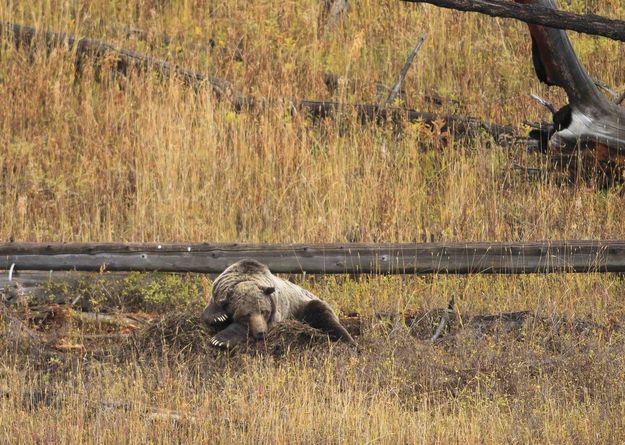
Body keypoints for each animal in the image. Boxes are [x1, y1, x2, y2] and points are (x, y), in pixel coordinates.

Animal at [202, 258, 354, 348]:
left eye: (264, 311)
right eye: (246, 314)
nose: (261, 332)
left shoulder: (275, 312)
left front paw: (220, 339)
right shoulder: (218, 291)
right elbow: (211, 311)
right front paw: (218, 317)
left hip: (306, 305)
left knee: (324, 315)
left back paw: (347, 340)